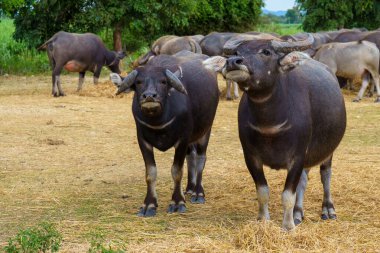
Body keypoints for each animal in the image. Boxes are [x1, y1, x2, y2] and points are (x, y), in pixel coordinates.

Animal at [110, 52, 218, 216]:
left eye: (163, 81)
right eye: (139, 82)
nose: (149, 96)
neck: (159, 121)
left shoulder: (182, 139)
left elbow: (176, 171)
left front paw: (177, 202)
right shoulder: (143, 140)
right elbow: (150, 172)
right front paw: (149, 204)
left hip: (205, 131)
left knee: (200, 158)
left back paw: (198, 193)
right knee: (191, 156)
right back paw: (189, 188)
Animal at [203, 34, 346, 230]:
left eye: (266, 52)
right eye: (237, 52)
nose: (232, 62)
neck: (269, 125)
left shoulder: (297, 156)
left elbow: (287, 194)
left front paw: (288, 226)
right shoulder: (251, 156)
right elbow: (263, 191)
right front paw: (264, 220)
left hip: (328, 151)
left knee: (326, 175)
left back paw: (328, 209)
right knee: (304, 180)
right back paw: (298, 212)